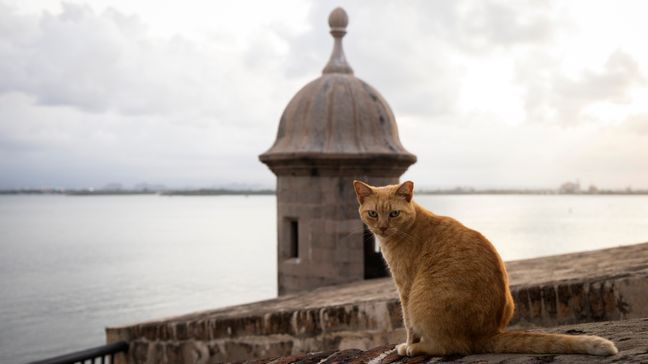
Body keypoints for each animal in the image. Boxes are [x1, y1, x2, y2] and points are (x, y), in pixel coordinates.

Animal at [354, 181, 616, 356]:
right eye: (373, 213)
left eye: (394, 213)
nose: (383, 227)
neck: (409, 227)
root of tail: (487, 333)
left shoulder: (405, 287)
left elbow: (408, 323)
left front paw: (408, 343)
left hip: (422, 300)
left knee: (450, 346)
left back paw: (414, 349)